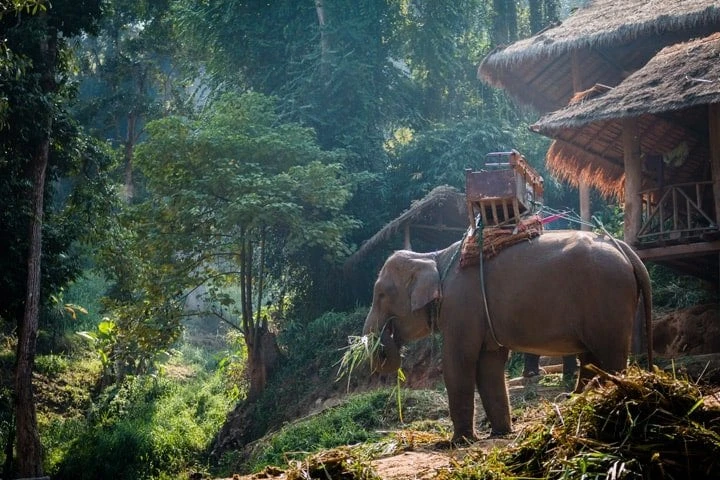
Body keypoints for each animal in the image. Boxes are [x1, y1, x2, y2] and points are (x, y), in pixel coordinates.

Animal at [362, 230, 653, 442]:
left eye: (380, 294)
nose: (384, 349)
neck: (434, 256)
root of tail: (622, 247)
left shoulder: (461, 306)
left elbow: (458, 361)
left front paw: (458, 442)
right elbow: (490, 364)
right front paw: (500, 433)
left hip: (609, 301)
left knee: (611, 357)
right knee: (592, 360)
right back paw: (580, 403)